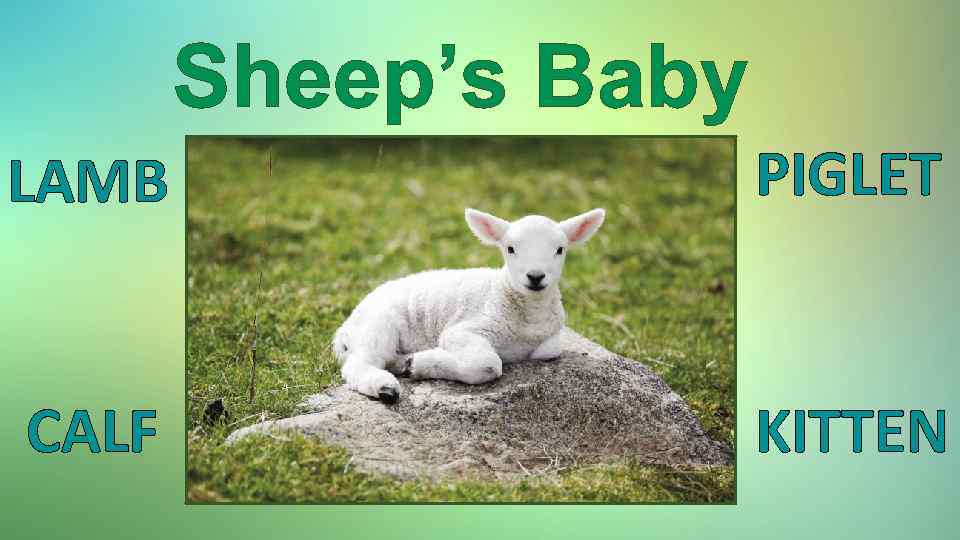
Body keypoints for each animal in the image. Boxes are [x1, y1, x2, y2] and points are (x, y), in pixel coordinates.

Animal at [333, 207, 606, 403]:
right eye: (510, 249)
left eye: (560, 250)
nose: (536, 276)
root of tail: (344, 329)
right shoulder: (463, 330)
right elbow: (488, 364)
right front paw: (420, 364)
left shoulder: (550, 342)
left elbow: (550, 350)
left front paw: (414, 363)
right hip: (377, 326)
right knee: (359, 364)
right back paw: (385, 387)